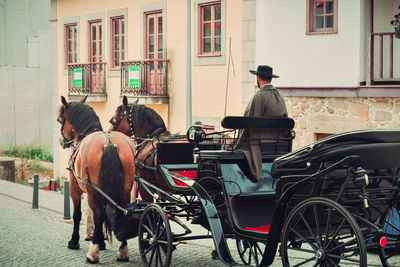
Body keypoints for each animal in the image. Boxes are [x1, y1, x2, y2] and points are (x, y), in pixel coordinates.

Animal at [57, 96, 135, 264]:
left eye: (60, 119)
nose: (61, 141)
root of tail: (109, 142)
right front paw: (101, 242)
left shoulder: (75, 187)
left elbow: (78, 215)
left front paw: (75, 241)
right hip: (125, 189)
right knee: (122, 212)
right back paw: (123, 251)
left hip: (92, 192)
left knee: (98, 215)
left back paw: (92, 253)